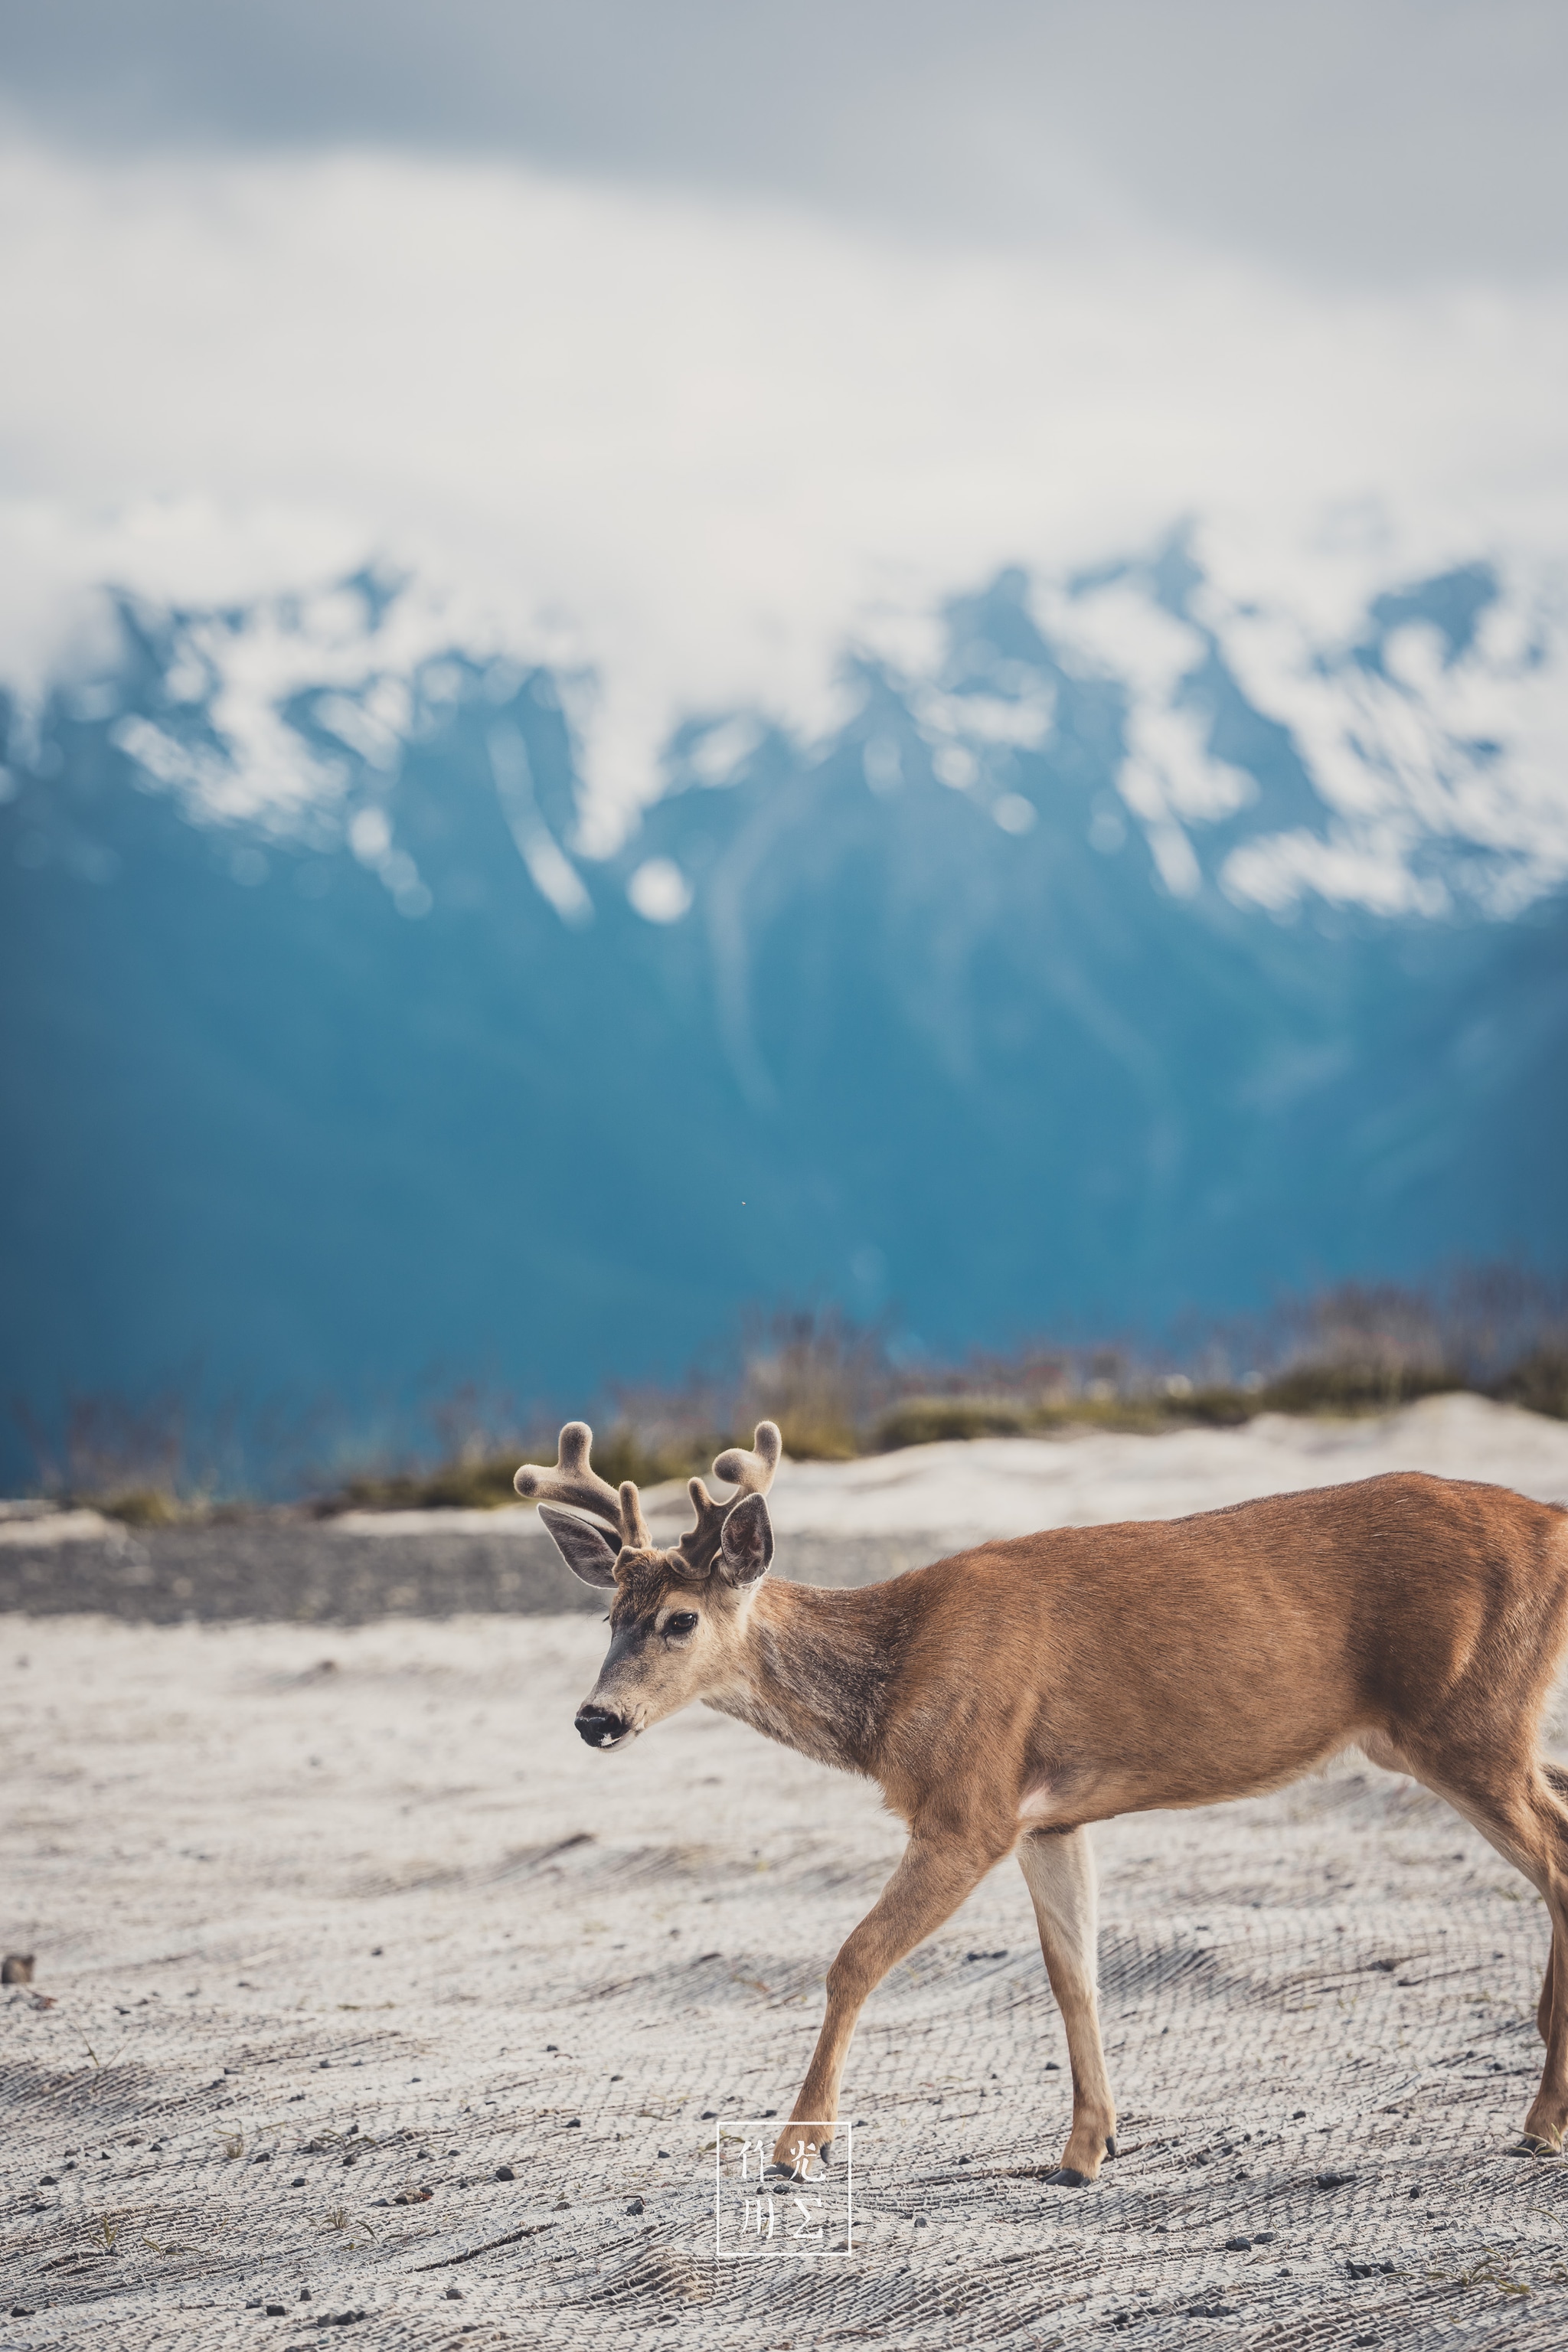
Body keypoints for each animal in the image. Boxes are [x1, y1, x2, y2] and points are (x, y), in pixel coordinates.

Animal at [516, 1418, 1568, 2182]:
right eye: (608, 1619)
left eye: (679, 1621)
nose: (595, 1719)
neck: (894, 1680)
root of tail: (1553, 1527)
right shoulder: (1048, 1818)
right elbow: (1075, 1974)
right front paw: (1084, 2150)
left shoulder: (969, 1807)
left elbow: (852, 1960)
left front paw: (797, 2144)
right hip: (1488, 1724)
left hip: (1464, 1719)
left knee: (1556, 1864)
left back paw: (1540, 2117)